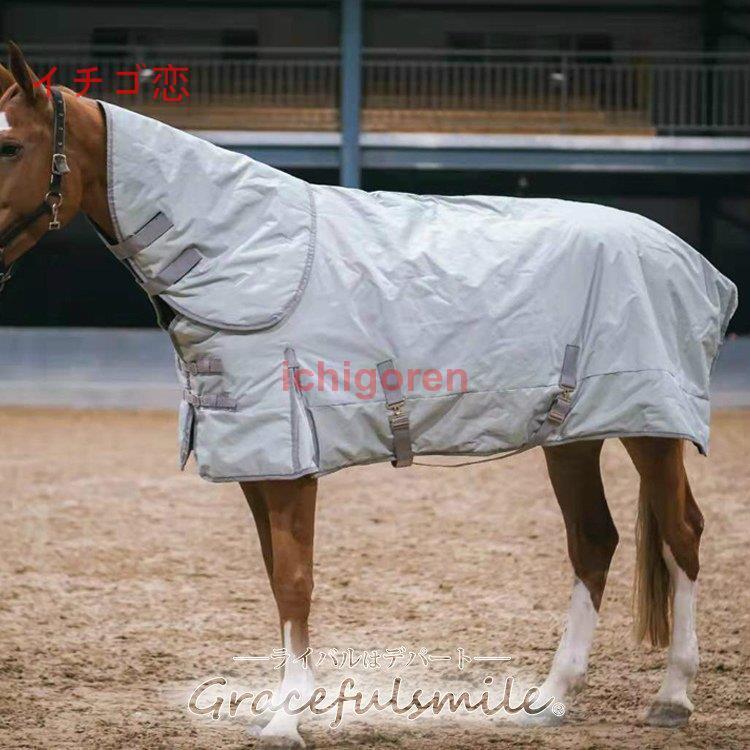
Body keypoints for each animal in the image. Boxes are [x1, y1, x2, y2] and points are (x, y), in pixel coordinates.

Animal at [0, 42, 723, 747]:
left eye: (10, 145)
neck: (245, 254)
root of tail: (688, 260)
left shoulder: (291, 463)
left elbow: (294, 580)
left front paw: (287, 717)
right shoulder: (257, 464)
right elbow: (276, 574)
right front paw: (283, 707)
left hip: (651, 429)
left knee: (682, 535)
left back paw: (672, 697)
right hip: (572, 435)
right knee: (593, 541)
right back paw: (550, 699)